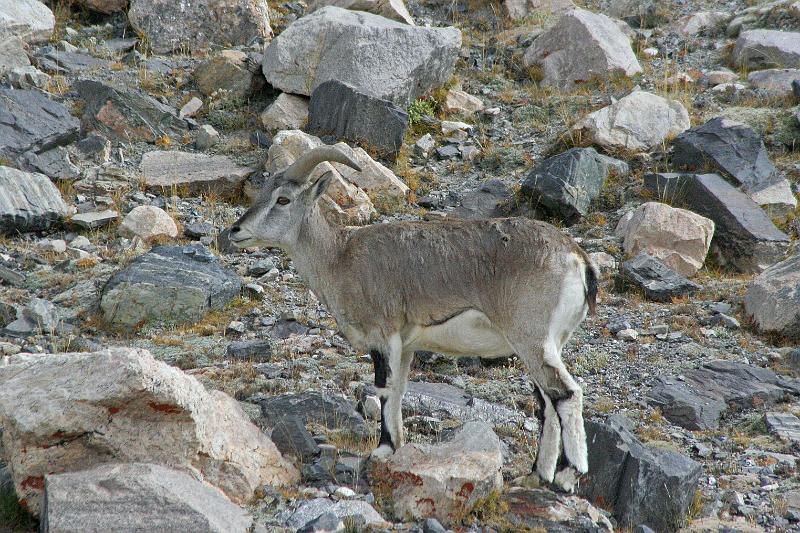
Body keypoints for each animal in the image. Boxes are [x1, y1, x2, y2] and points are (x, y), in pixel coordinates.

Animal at [228, 145, 598, 492]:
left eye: (283, 199)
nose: (236, 230)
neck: (339, 257)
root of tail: (577, 259)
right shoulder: (405, 345)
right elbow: (400, 389)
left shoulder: (383, 335)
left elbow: (384, 388)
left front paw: (383, 449)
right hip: (542, 345)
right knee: (547, 402)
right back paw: (536, 474)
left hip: (531, 338)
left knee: (565, 394)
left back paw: (567, 475)